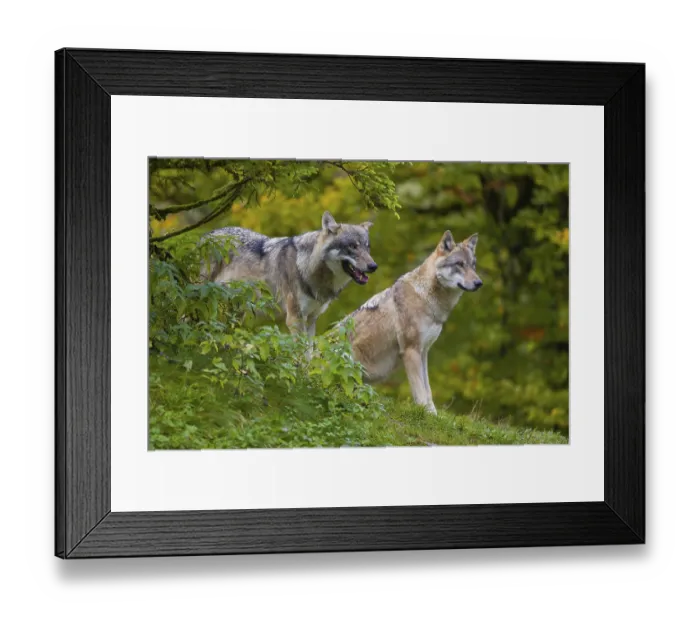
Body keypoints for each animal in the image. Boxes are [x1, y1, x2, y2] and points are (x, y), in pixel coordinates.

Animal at [200, 211, 377, 340]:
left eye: (367, 247)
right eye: (352, 246)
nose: (373, 266)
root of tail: (207, 235)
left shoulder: (311, 319)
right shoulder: (294, 319)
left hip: (236, 313)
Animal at [346, 230, 482, 415]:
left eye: (473, 265)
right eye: (460, 264)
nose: (479, 283)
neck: (426, 298)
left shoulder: (423, 351)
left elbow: (428, 390)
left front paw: (433, 415)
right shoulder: (411, 351)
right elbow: (420, 391)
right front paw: (424, 414)